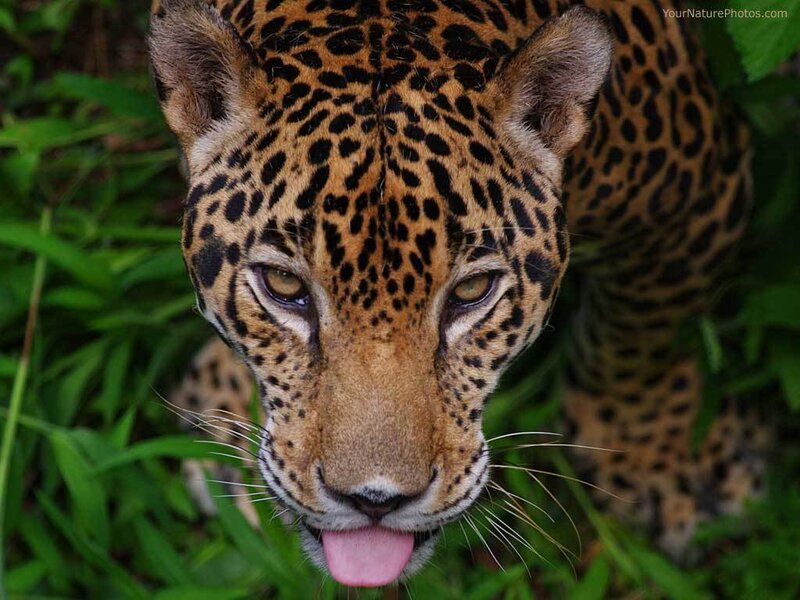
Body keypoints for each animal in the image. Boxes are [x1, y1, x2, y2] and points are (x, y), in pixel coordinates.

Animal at [149, 0, 769, 586]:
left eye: (472, 291)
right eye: (284, 287)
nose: (376, 500)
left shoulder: (696, 191)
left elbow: (643, 333)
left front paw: (663, 463)